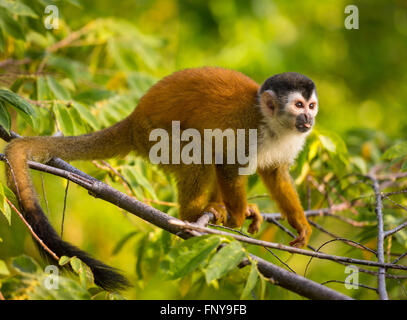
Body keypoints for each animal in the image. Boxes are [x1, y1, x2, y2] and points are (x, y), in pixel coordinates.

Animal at [3, 67, 318, 290]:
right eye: (298, 105)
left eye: (311, 106)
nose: (309, 120)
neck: (272, 123)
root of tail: (134, 119)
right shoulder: (248, 128)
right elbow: (228, 164)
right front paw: (237, 217)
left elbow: (275, 173)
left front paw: (300, 226)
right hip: (154, 138)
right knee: (199, 151)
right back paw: (192, 214)